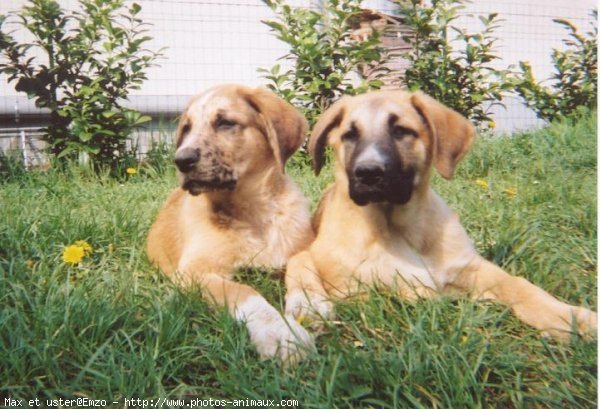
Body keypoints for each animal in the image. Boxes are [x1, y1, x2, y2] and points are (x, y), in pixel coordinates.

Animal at [147, 83, 314, 360]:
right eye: (187, 128)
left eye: (225, 123)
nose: (181, 161)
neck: (254, 215)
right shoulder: (193, 273)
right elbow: (244, 291)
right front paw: (281, 333)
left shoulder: (303, 250)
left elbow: (303, 270)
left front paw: (311, 306)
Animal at [284, 90, 596, 342]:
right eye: (350, 135)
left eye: (401, 131)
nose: (368, 173)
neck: (397, 228)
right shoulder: (349, 290)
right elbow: (398, 292)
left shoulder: (473, 266)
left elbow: (520, 285)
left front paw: (569, 317)